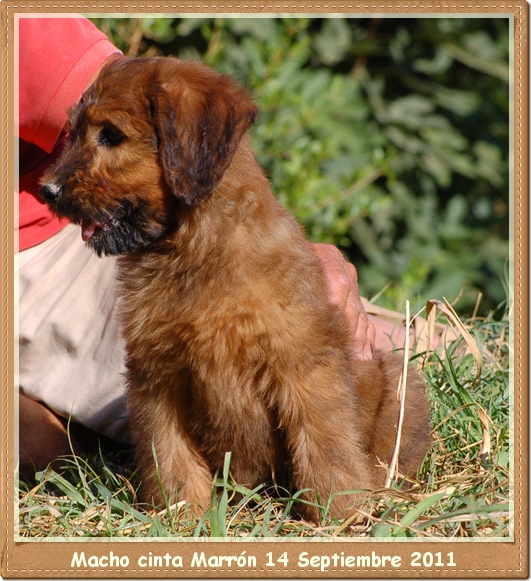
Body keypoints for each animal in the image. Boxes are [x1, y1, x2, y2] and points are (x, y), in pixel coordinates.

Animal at [39, 57, 430, 520]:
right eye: (73, 131)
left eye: (112, 135)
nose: (47, 190)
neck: (192, 248)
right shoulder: (156, 376)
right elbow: (169, 454)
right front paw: (182, 514)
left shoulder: (303, 365)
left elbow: (325, 445)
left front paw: (342, 511)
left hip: (402, 388)